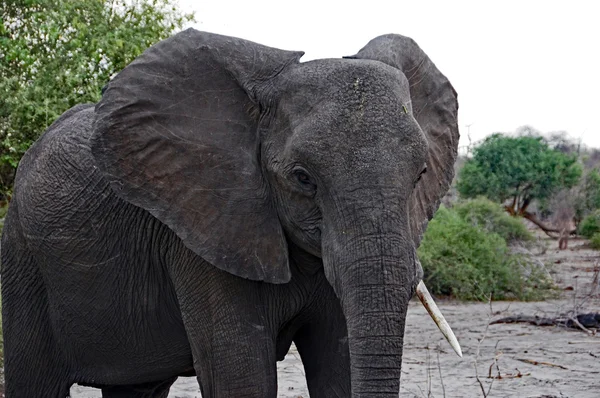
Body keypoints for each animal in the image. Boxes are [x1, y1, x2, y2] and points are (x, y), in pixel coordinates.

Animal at [1, 28, 460, 398]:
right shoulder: (204, 226)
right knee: (34, 382)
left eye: (421, 173)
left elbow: (338, 369)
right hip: (23, 257)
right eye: (302, 178)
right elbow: (242, 380)